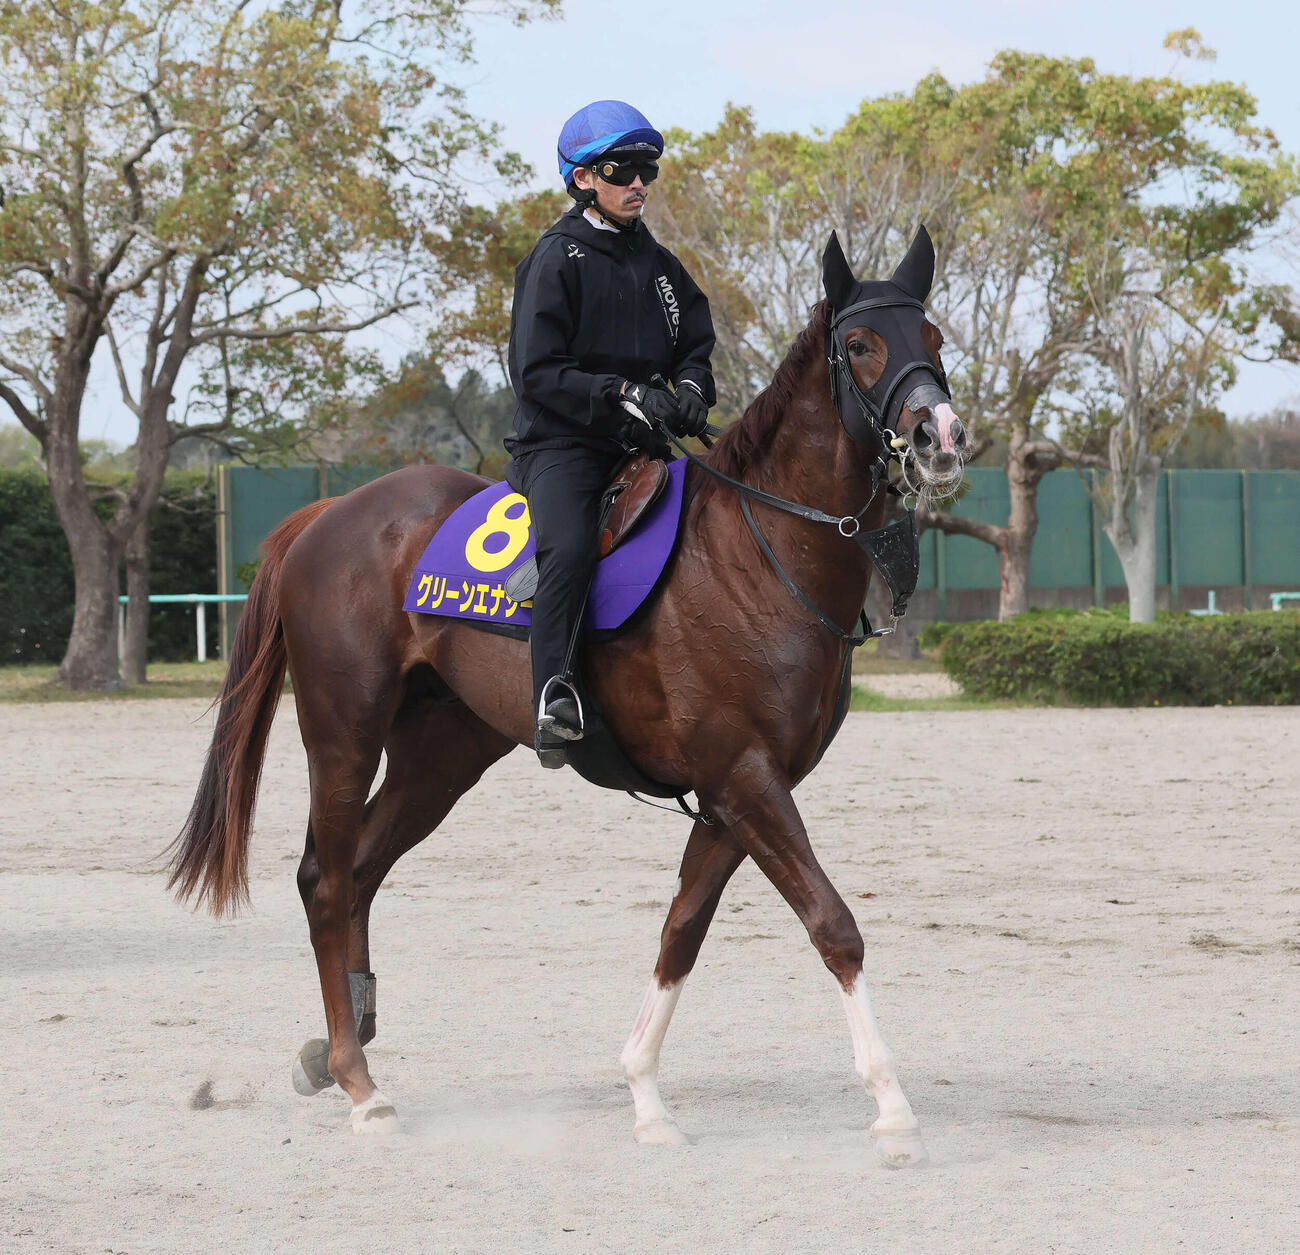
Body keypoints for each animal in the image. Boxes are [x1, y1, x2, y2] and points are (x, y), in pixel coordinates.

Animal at [168, 226, 970, 1167]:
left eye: (934, 337)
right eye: (861, 343)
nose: (940, 434)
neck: (760, 551)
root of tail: (328, 514)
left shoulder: (733, 796)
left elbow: (680, 932)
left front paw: (646, 1095)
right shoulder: (745, 778)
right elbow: (833, 924)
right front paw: (892, 1108)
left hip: (442, 756)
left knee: (359, 871)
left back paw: (339, 1047)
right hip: (344, 736)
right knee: (328, 883)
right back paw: (361, 1086)